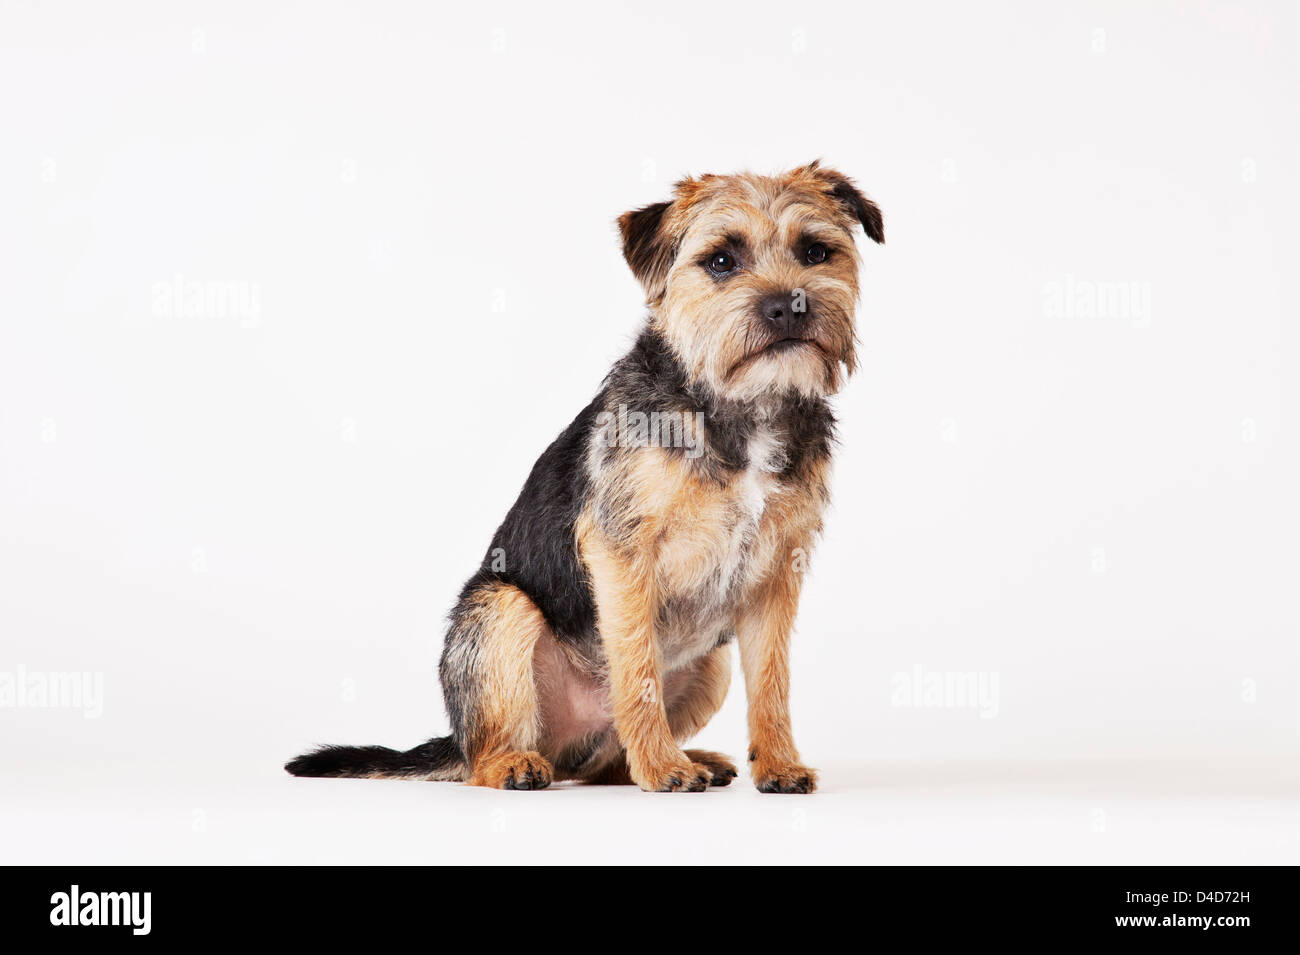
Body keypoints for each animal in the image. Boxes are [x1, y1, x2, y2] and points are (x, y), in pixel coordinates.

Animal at [287, 162, 883, 789]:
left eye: (816, 252)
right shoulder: (622, 552)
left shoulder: (777, 572)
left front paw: (778, 764)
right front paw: (663, 768)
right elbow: (638, 668)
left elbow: (772, 682)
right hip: (502, 612)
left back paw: (689, 758)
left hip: (712, 663)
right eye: (721, 260)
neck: (741, 408)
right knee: (489, 755)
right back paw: (526, 763)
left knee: (609, 764)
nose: (788, 305)